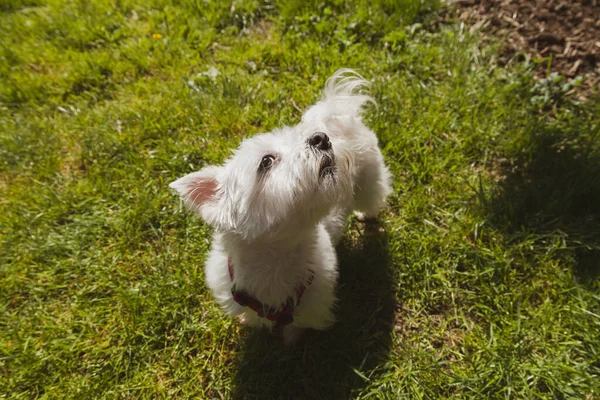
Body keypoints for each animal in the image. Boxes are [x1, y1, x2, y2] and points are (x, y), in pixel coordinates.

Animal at [170, 69, 394, 344]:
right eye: (266, 161)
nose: (321, 138)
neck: (277, 259)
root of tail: (334, 112)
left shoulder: (314, 302)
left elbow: (297, 324)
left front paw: (291, 338)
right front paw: (249, 322)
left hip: (368, 179)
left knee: (374, 194)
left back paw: (367, 214)